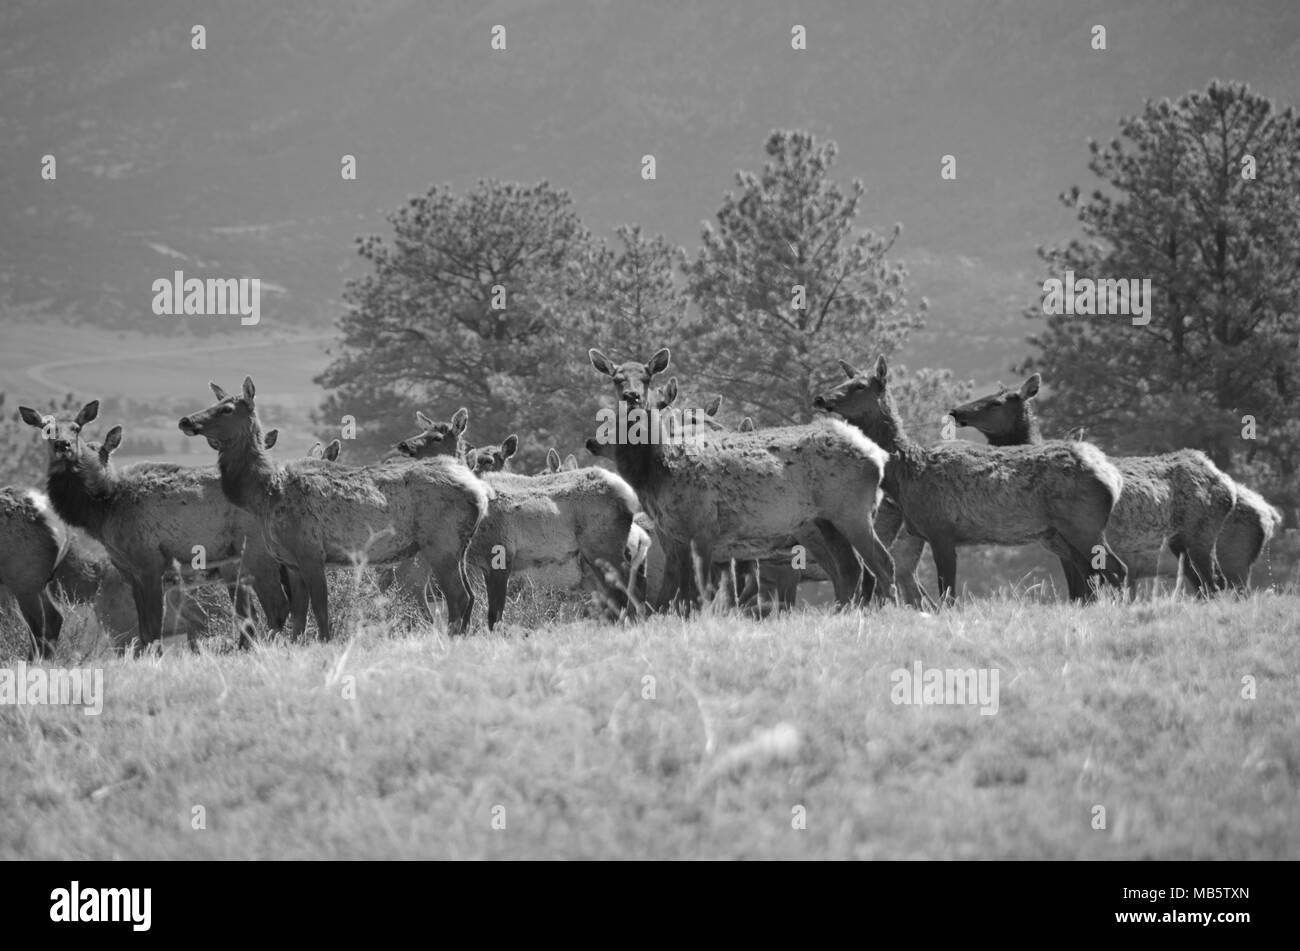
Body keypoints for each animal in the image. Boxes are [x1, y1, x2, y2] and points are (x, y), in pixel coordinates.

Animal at [19, 402, 293, 650]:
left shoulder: (150, 564)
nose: (62, 446)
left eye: (76, 428)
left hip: (257, 554)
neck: (103, 510)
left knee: (276, 608)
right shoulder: (130, 572)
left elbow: (152, 629)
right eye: (46, 428)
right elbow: (144, 631)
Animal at [179, 379, 488, 639]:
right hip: (457, 547)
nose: (185, 419)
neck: (263, 494)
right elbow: (299, 617)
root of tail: (479, 493)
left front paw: (325, 643)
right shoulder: (290, 561)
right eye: (215, 403)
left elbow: (321, 612)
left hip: (441, 543)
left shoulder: (310, 552)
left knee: (458, 596)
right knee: (470, 595)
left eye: (227, 409)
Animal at [588, 347, 897, 611]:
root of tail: (877, 455)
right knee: (852, 568)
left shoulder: (703, 528)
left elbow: (698, 593)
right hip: (826, 520)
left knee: (882, 563)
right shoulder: (676, 536)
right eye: (617, 379)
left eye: (647, 377)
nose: (632, 396)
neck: (657, 473)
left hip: (851, 511)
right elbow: (680, 595)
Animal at [813, 355, 1129, 605]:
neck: (905, 476)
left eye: (859, 386)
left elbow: (948, 596)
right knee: (1097, 575)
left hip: (1084, 525)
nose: (820, 398)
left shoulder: (941, 530)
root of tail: (1112, 478)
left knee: (1117, 570)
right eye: (847, 379)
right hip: (1070, 532)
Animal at [949, 374, 1243, 596]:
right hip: (1180, 540)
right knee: (1203, 583)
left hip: (1200, 534)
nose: (955, 410)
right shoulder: (1064, 549)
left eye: (996, 402)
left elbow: (1085, 590)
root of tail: (1226, 484)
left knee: (1215, 581)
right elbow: (1081, 591)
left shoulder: (1070, 544)